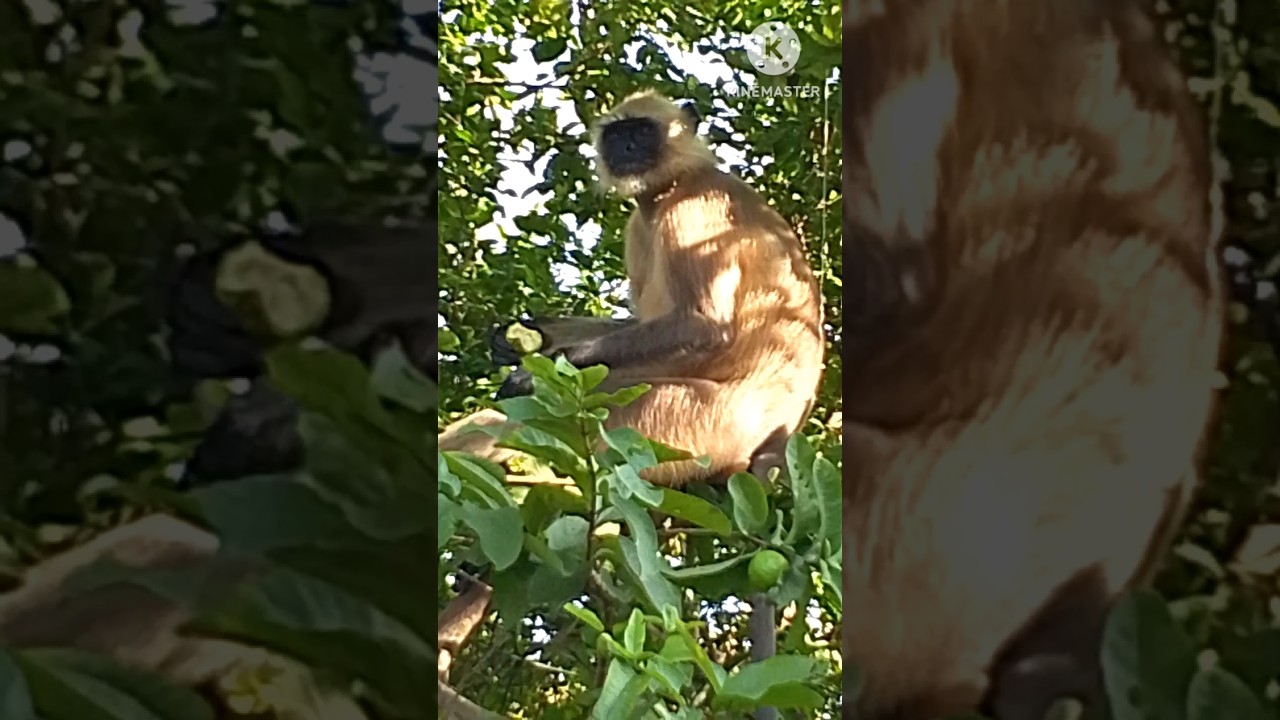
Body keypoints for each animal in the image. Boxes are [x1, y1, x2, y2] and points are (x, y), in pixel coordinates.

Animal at [439, 90, 827, 490]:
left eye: (642, 132)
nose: (626, 148)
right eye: (616, 135)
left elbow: (703, 327)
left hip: (686, 423)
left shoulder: (697, 206)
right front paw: (527, 335)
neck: (672, 186)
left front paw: (536, 372)